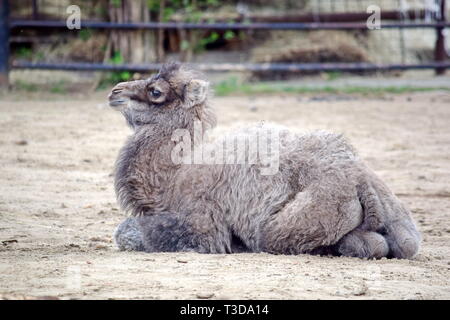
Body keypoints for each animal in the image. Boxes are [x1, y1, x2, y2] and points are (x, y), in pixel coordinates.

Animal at [107, 61, 420, 258]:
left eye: (155, 91)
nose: (114, 91)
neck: (174, 175)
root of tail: (360, 181)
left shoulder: (202, 222)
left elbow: (128, 232)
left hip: (288, 224)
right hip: (399, 219)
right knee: (399, 245)